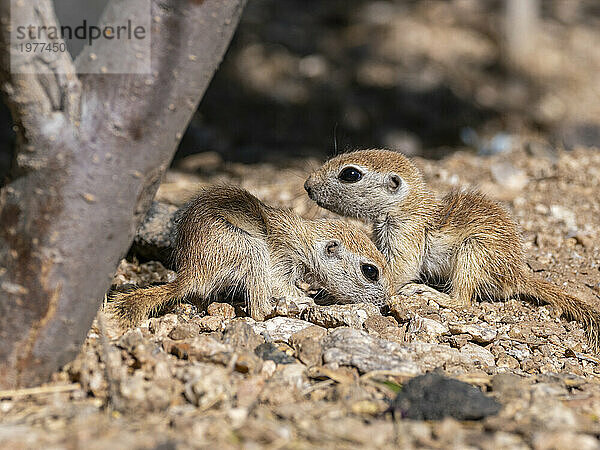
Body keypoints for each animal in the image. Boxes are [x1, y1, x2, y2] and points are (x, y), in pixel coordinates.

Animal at [109, 184, 392, 326]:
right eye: (370, 271)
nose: (385, 303)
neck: (305, 242)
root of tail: (191, 272)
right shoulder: (280, 260)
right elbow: (280, 285)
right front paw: (307, 300)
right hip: (251, 250)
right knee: (257, 311)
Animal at [304, 149, 600, 350]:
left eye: (350, 174)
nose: (307, 185)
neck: (407, 205)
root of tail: (517, 274)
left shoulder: (405, 234)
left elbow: (400, 271)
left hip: (473, 251)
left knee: (463, 300)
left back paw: (431, 294)